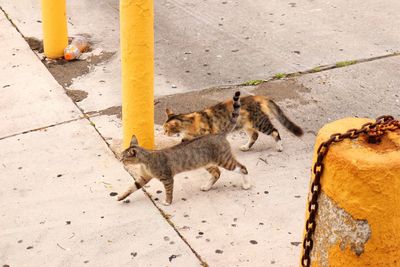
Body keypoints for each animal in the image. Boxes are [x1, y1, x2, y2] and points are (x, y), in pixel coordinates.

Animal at [118, 91, 250, 206]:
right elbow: (132, 187)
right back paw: (207, 186)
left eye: (124, 157)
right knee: (217, 173)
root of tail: (219, 134)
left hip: (224, 160)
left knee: (242, 168)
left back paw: (246, 185)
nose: (120, 161)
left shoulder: (167, 178)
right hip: (207, 163)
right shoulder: (143, 178)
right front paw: (121, 196)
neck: (145, 161)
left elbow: (169, 191)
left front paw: (167, 202)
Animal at [163, 94, 304, 153]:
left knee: (274, 131)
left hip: (260, 122)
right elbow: (182, 142)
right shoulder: (188, 137)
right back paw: (246, 147)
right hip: (246, 124)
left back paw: (279, 146)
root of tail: (257, 97)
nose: (163, 133)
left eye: (166, 129)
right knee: (255, 135)